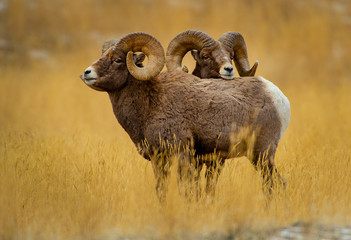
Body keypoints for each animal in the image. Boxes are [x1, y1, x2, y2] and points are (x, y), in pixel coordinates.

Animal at [80, 31, 292, 201]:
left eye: (117, 59)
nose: (87, 73)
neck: (151, 102)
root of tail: (277, 96)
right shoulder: (159, 161)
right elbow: (162, 191)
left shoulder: (183, 156)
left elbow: (187, 191)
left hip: (262, 154)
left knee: (277, 183)